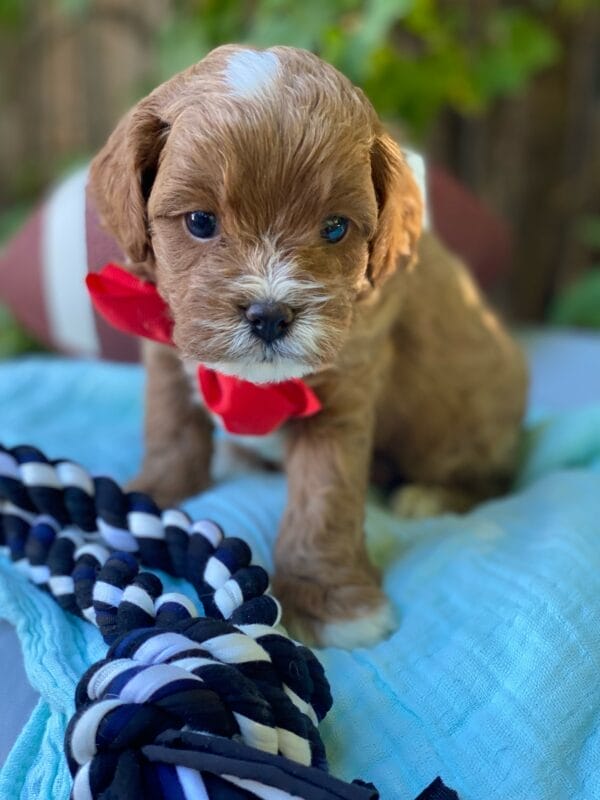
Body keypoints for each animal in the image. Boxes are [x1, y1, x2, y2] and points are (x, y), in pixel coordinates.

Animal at [86, 43, 528, 648]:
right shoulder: (164, 343)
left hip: (464, 421)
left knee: (496, 477)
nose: (270, 315)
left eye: (335, 228)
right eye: (200, 221)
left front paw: (331, 606)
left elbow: (323, 502)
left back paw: (431, 496)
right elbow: (171, 427)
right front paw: (150, 495)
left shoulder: (343, 395)